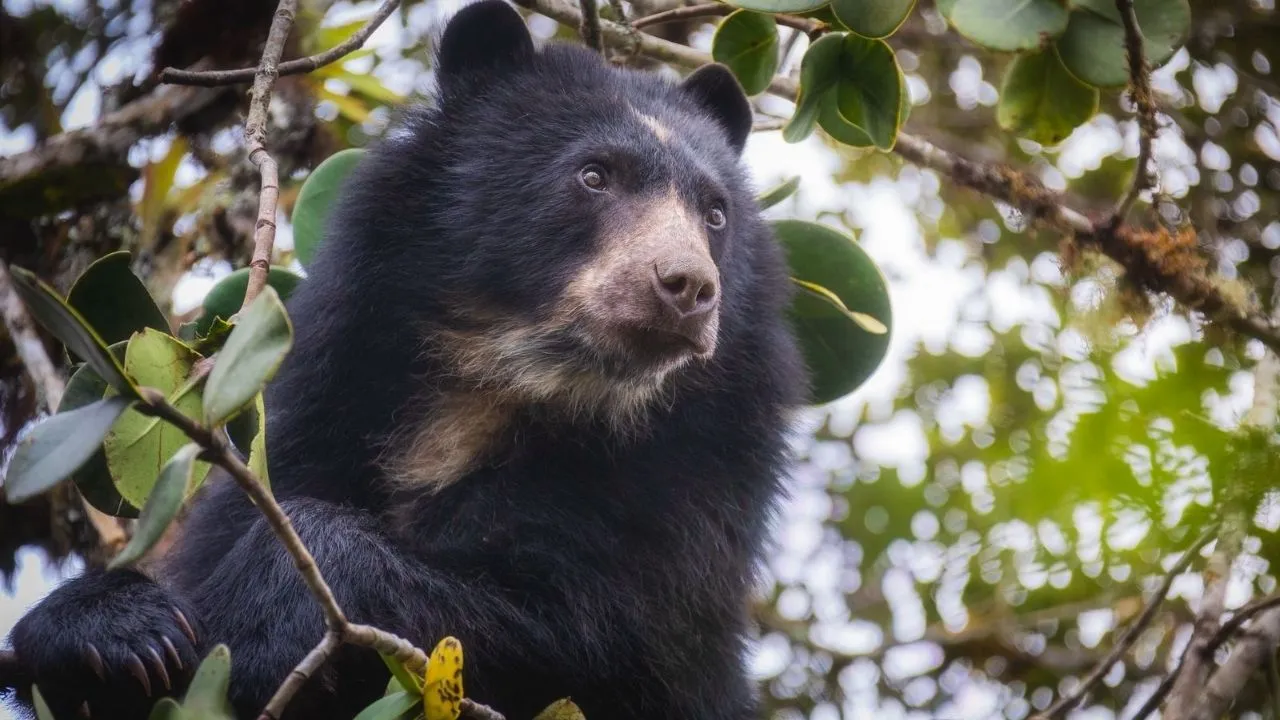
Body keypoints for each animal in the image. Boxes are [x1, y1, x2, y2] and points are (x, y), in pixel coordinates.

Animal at [3, 2, 807, 718]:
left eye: (714, 213)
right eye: (593, 176)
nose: (687, 287)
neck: (510, 387)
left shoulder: (677, 506)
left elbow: (586, 635)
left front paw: (268, 615)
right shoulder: (325, 403)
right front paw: (120, 634)